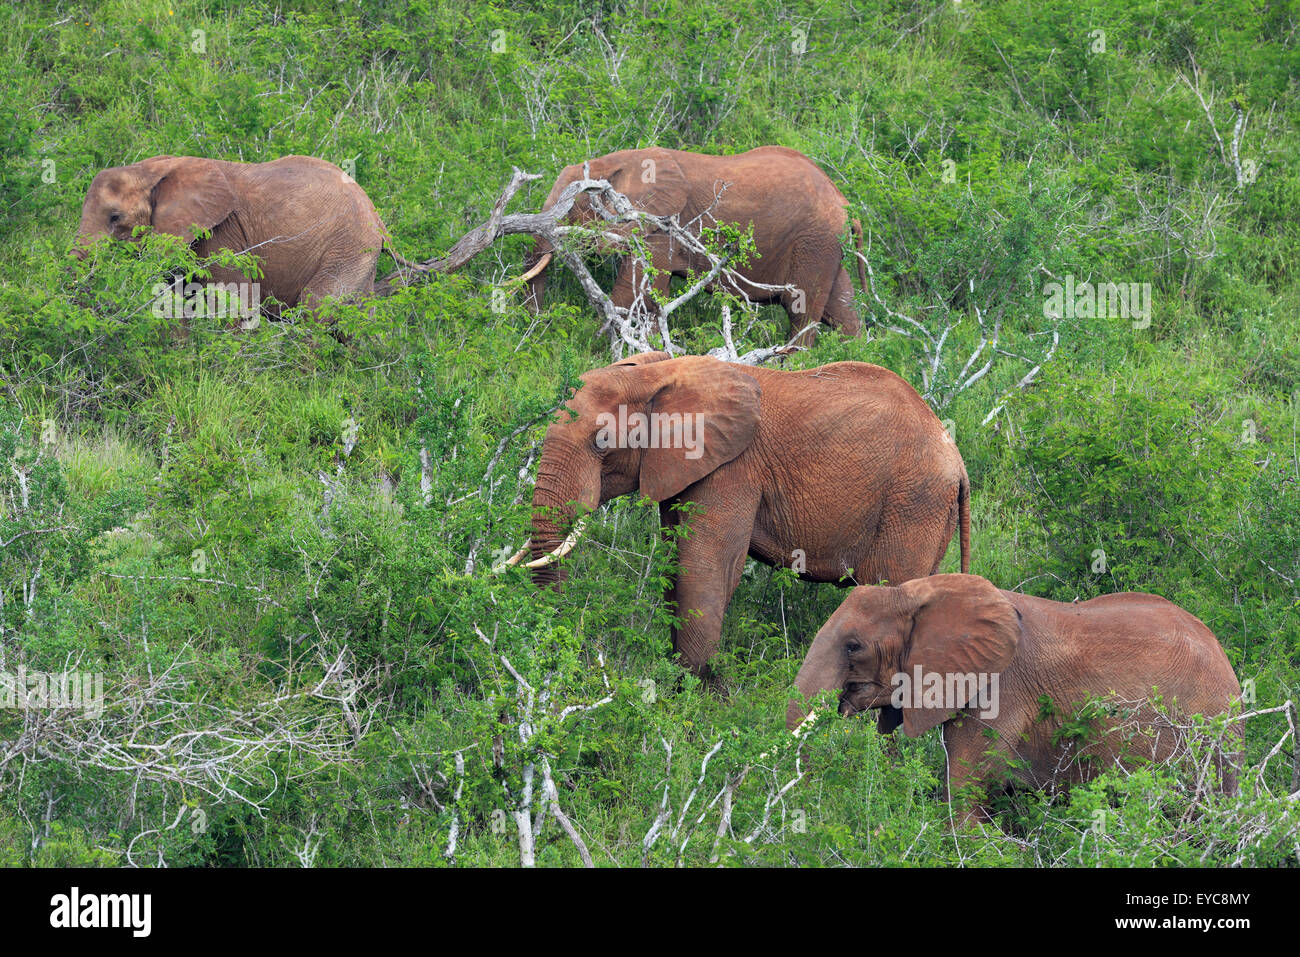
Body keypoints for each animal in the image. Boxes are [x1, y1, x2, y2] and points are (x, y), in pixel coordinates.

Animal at [76, 155, 410, 315]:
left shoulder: (221, 232)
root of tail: (378, 218)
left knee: (316, 310)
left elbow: (234, 299)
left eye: (115, 218)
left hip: (348, 249)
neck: (148, 170)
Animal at [504, 351, 967, 681]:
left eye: (602, 442)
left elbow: (704, 566)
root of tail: (958, 463)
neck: (658, 374)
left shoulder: (733, 468)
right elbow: (678, 564)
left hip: (913, 504)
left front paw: (690, 699)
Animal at [514, 147, 863, 345]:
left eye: (569, 207)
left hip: (814, 241)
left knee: (800, 310)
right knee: (842, 310)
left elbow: (636, 293)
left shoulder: (659, 224)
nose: (539, 325)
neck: (615, 162)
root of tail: (846, 203)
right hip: (825, 245)